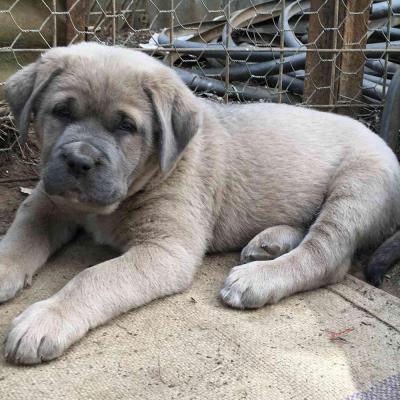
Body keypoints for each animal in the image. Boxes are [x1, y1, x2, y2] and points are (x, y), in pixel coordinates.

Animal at [2, 42, 400, 364]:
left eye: (126, 127)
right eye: (62, 112)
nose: (78, 161)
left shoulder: (166, 248)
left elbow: (93, 277)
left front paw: (48, 317)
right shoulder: (46, 201)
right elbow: (20, 237)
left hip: (356, 187)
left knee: (328, 255)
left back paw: (259, 278)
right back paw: (269, 242)